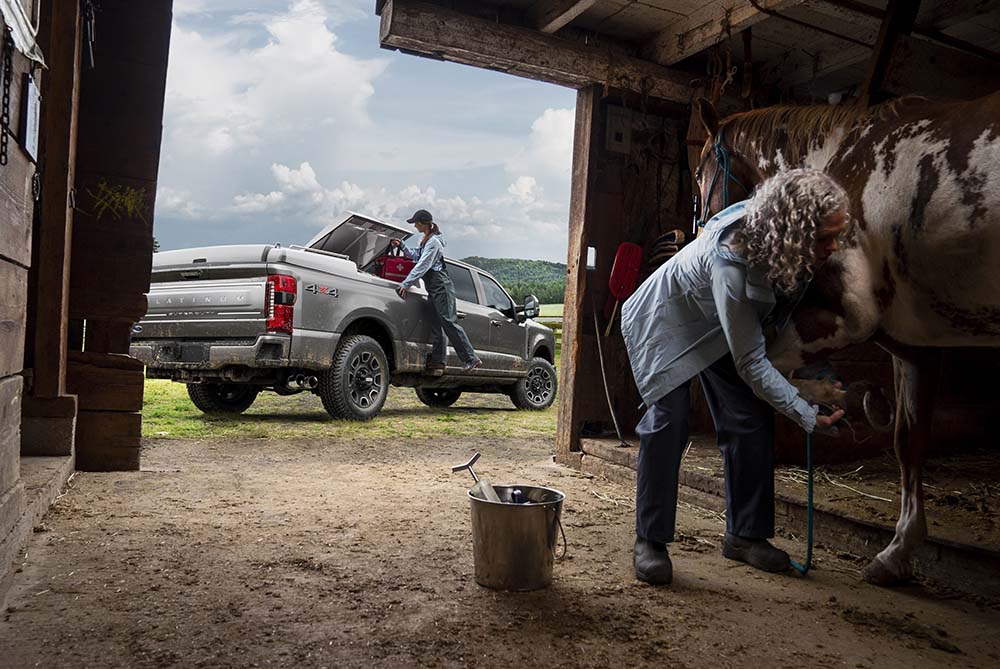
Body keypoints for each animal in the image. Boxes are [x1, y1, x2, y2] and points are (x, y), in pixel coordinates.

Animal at [692, 92, 1000, 584]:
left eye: (698, 174)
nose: (702, 234)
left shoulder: (846, 318)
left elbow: (775, 368)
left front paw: (841, 399)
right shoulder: (917, 346)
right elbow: (909, 440)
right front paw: (896, 554)